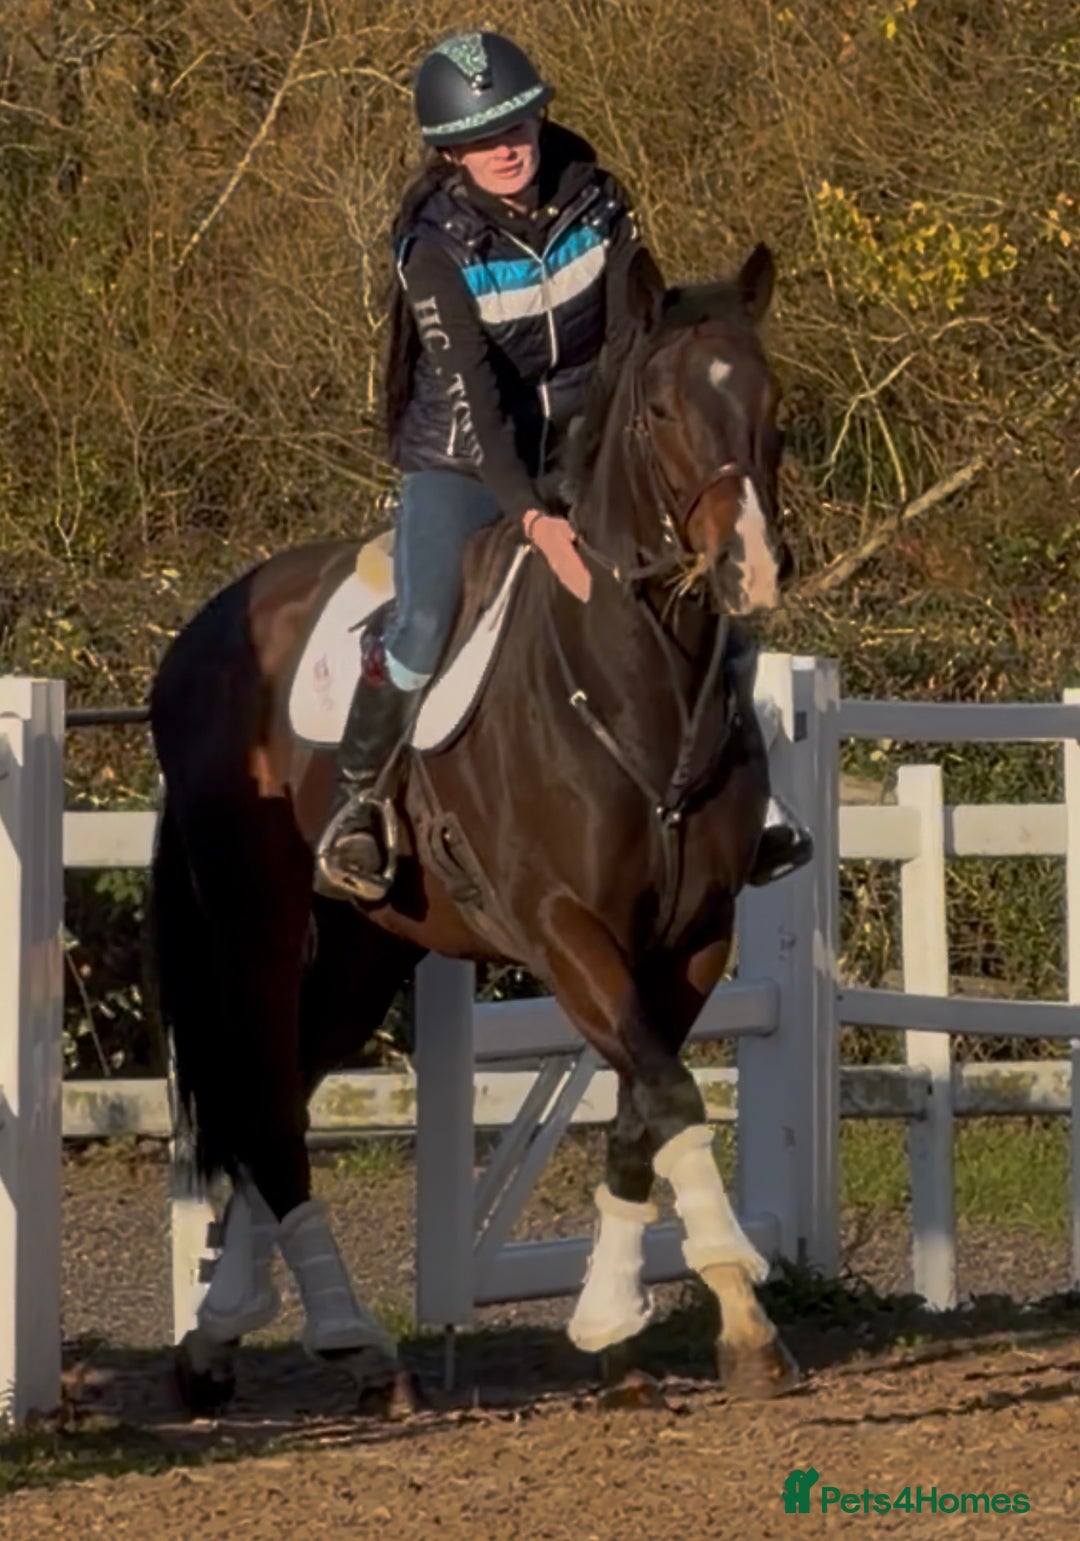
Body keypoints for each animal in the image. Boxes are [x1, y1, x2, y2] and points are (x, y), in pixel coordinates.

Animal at [149, 242, 801, 1413]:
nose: (752, 565)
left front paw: (614, 1325)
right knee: (266, 1099)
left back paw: (225, 1336)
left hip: (363, 948)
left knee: (282, 1094)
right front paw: (737, 1303)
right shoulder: (564, 930)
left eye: (773, 405)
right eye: (664, 410)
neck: (628, 681)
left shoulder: (693, 941)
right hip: (258, 925)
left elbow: (642, 1111)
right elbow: (670, 1093)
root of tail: (200, 634)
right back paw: (348, 1337)